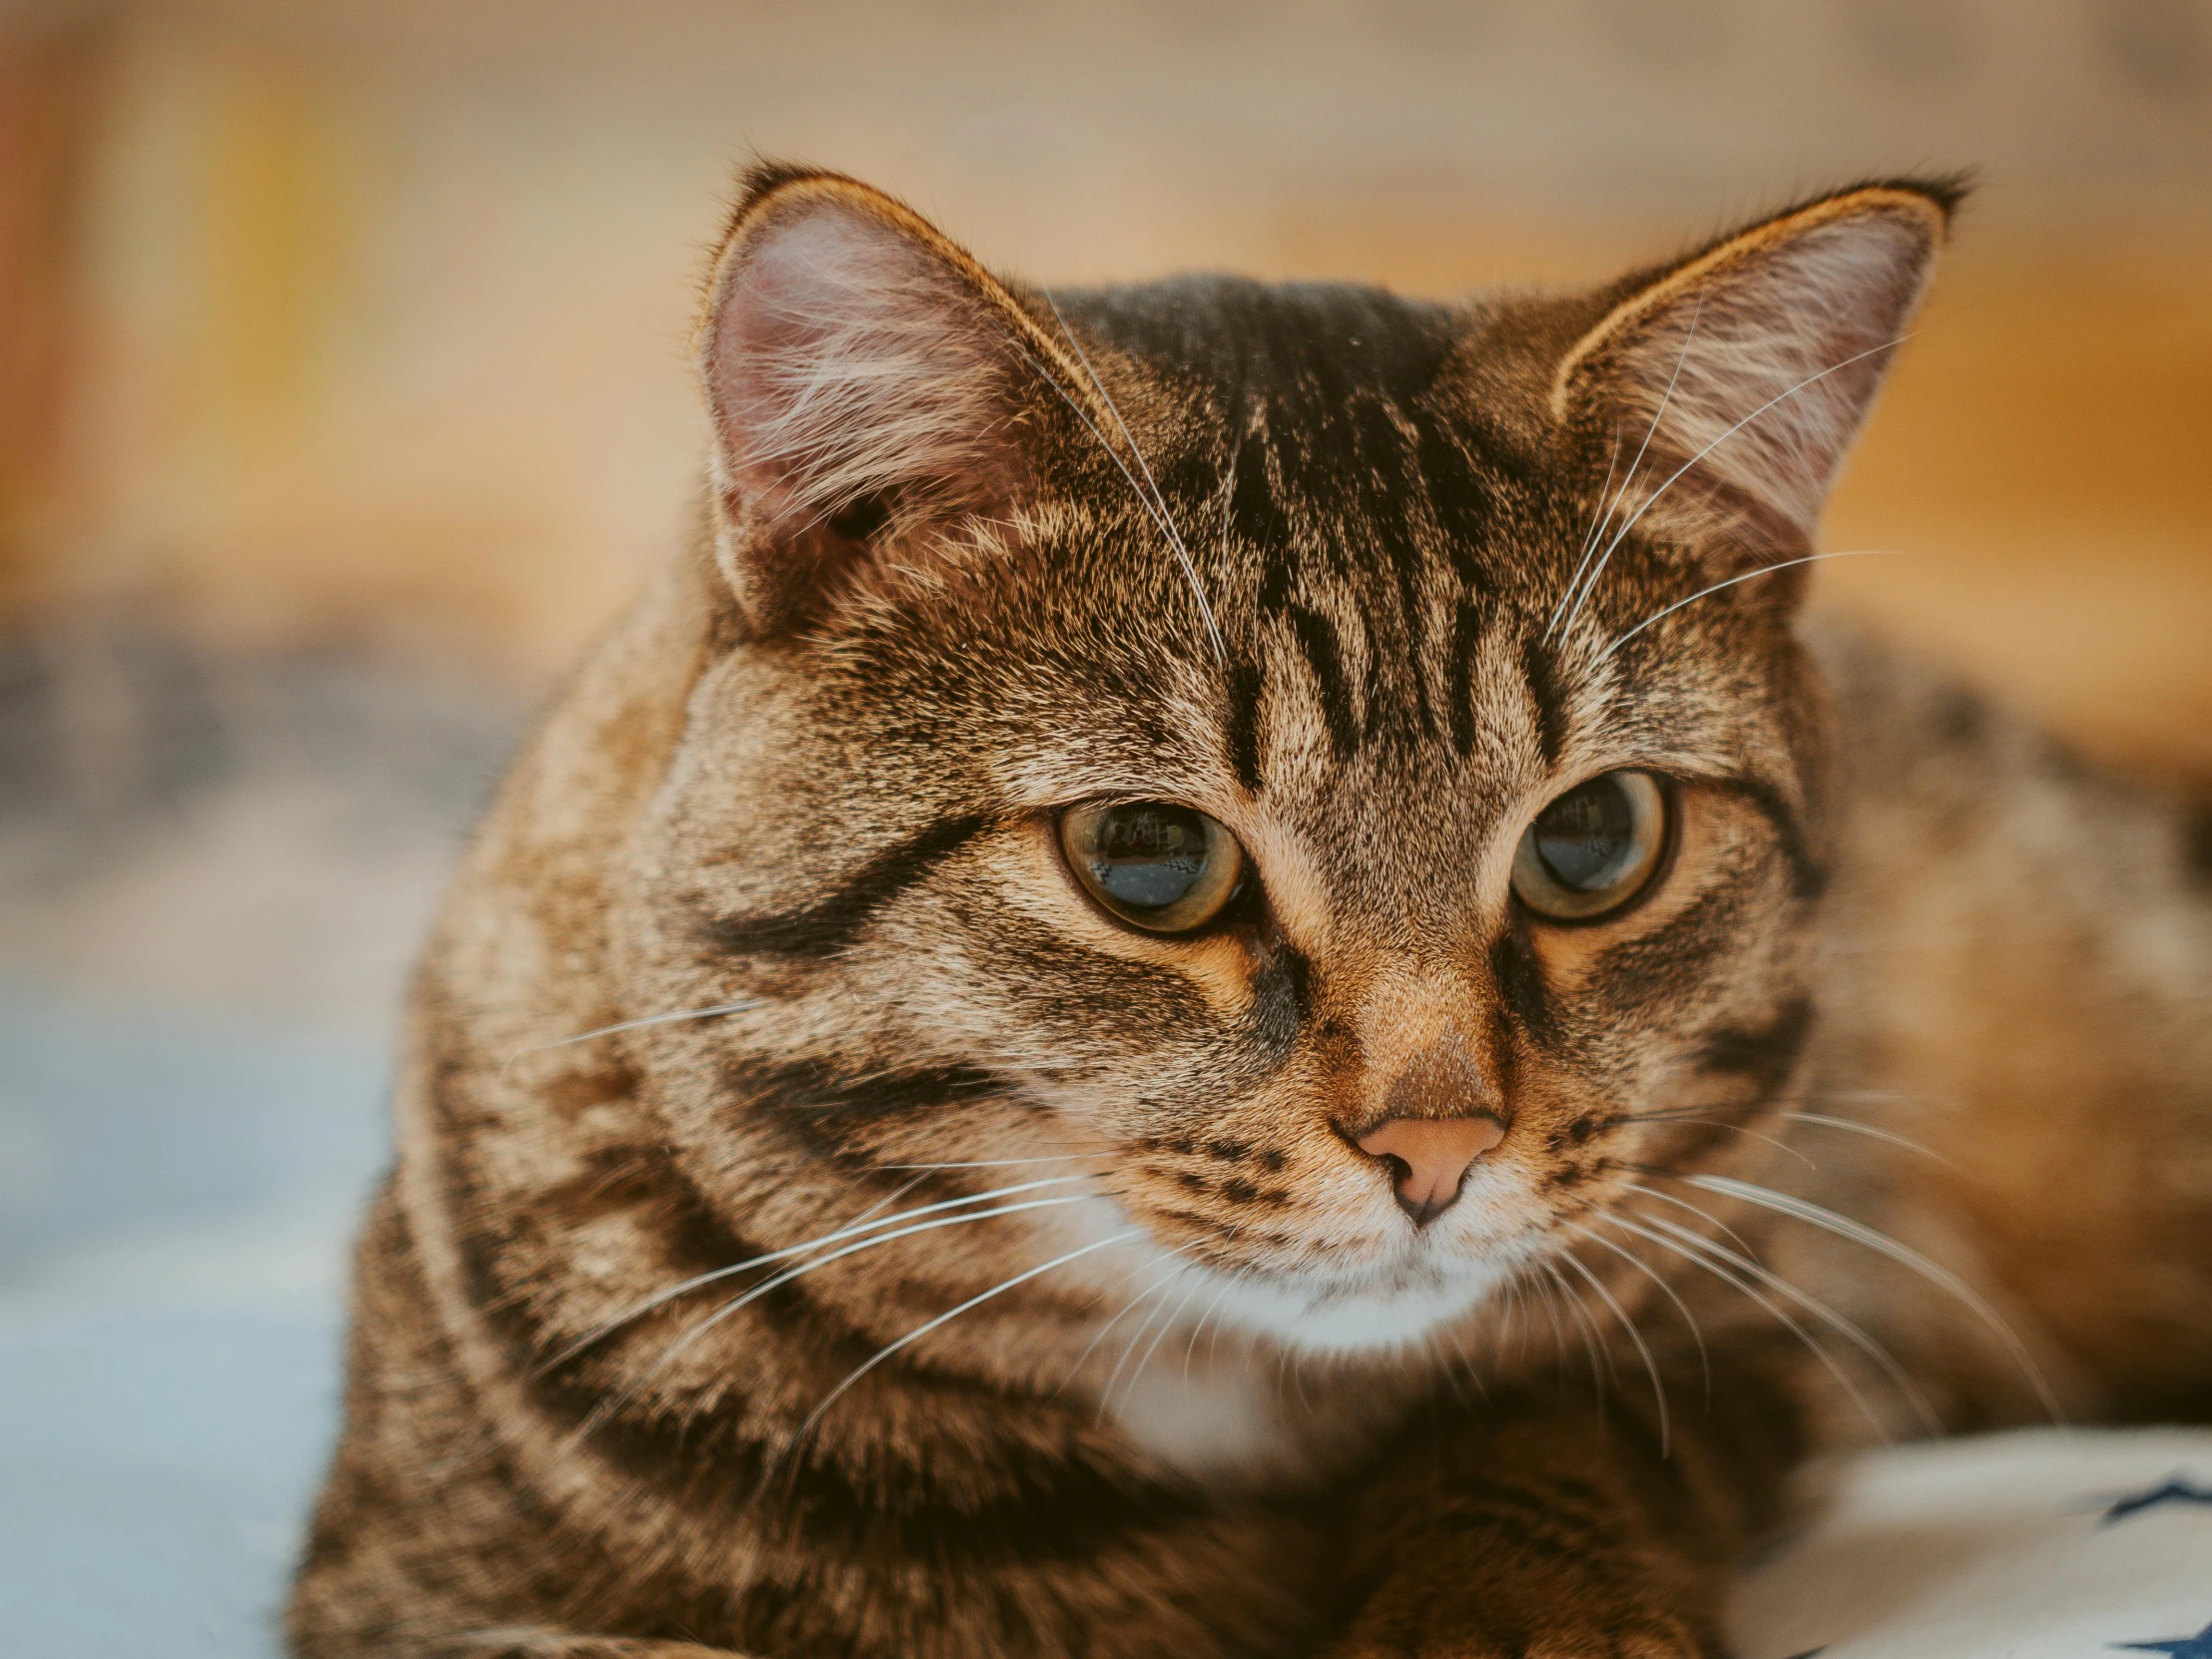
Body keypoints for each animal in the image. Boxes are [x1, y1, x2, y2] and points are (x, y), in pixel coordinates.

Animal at [289, 169, 2212, 1659]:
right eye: (1148, 858)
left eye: (1596, 840)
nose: (1440, 1144)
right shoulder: (425, 1596)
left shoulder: (1750, 1313)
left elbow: (1545, 1429)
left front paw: (1502, 1609)